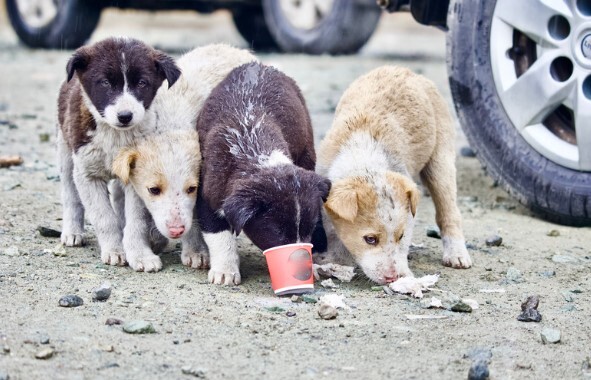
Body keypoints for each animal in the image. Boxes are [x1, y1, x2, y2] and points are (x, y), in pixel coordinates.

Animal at [59, 37, 182, 266]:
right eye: (105, 83)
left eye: (142, 83)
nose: (125, 116)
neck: (115, 135)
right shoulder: (87, 173)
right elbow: (104, 218)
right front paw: (115, 250)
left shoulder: (136, 176)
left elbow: (136, 220)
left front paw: (140, 254)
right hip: (65, 150)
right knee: (70, 194)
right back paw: (72, 231)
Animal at [197, 60, 330, 284]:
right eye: (277, 231)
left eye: (308, 229)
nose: (300, 261)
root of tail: (260, 64)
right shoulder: (208, 193)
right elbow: (218, 233)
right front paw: (225, 270)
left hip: (306, 148)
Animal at [316, 66, 474, 284]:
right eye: (370, 239)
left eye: (400, 236)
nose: (392, 277)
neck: (363, 158)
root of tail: (405, 70)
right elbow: (332, 231)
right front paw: (335, 260)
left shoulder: (408, 214)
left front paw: (404, 273)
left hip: (441, 159)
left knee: (448, 211)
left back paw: (456, 253)